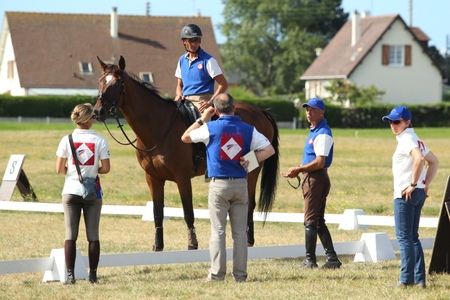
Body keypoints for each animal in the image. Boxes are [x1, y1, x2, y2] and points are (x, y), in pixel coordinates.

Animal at [94, 55, 278, 251]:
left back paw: (248, 240)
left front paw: (192, 244)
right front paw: (158, 246)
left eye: (117, 83)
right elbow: (157, 213)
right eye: (100, 82)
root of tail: (260, 111)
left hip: (252, 171)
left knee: (249, 203)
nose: (98, 111)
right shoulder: (153, 178)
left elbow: (188, 212)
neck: (159, 127)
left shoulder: (182, 178)